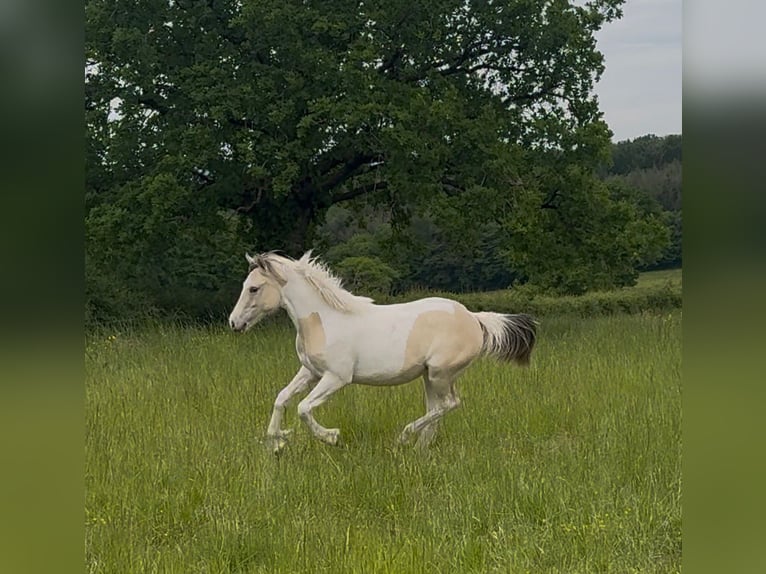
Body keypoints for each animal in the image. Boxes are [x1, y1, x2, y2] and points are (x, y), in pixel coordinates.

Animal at [228, 251, 537, 452]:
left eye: (253, 288)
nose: (234, 323)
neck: (324, 320)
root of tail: (474, 318)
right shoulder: (311, 372)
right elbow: (281, 398)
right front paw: (277, 442)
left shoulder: (336, 377)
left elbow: (304, 408)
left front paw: (331, 436)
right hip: (429, 376)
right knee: (437, 409)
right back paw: (419, 448)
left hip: (441, 373)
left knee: (450, 404)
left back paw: (404, 437)